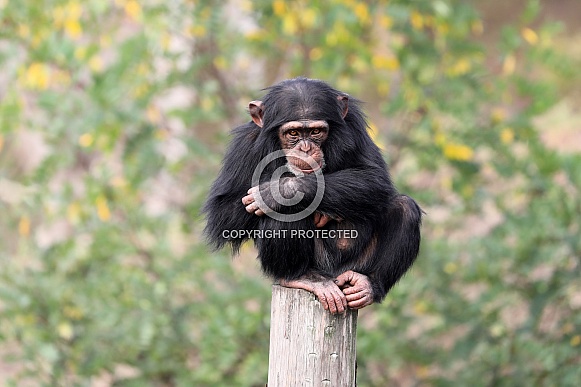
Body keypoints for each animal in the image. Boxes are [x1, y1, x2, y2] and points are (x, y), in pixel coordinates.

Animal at [204, 78, 422, 316]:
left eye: (316, 131)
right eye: (293, 133)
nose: (306, 148)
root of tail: (333, 275)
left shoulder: (353, 125)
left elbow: (375, 178)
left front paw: (280, 190)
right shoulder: (245, 144)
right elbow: (223, 214)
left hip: (355, 266)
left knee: (404, 207)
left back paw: (368, 284)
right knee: (286, 211)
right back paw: (302, 277)